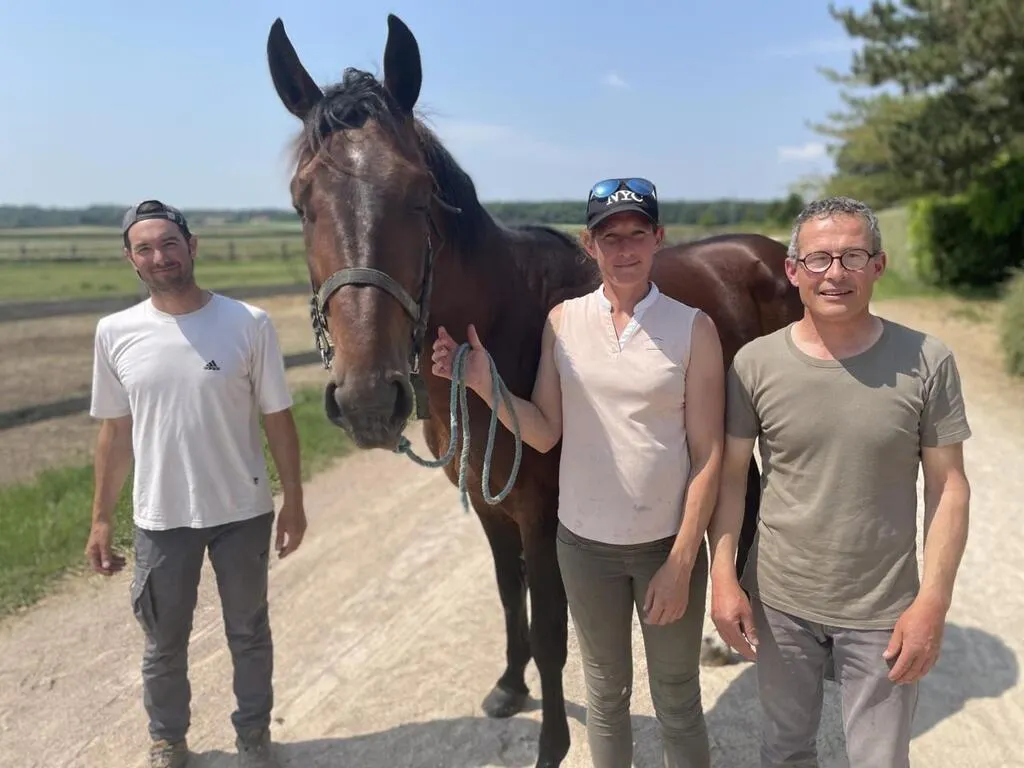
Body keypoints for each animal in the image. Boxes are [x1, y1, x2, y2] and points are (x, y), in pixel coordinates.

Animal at [266, 14, 803, 767]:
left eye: (419, 193)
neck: (507, 327)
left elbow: (552, 629)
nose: (368, 399)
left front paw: (550, 741)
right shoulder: (493, 506)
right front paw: (508, 687)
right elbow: (506, 596)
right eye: (302, 202)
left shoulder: (547, 516)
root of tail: (767, 250)